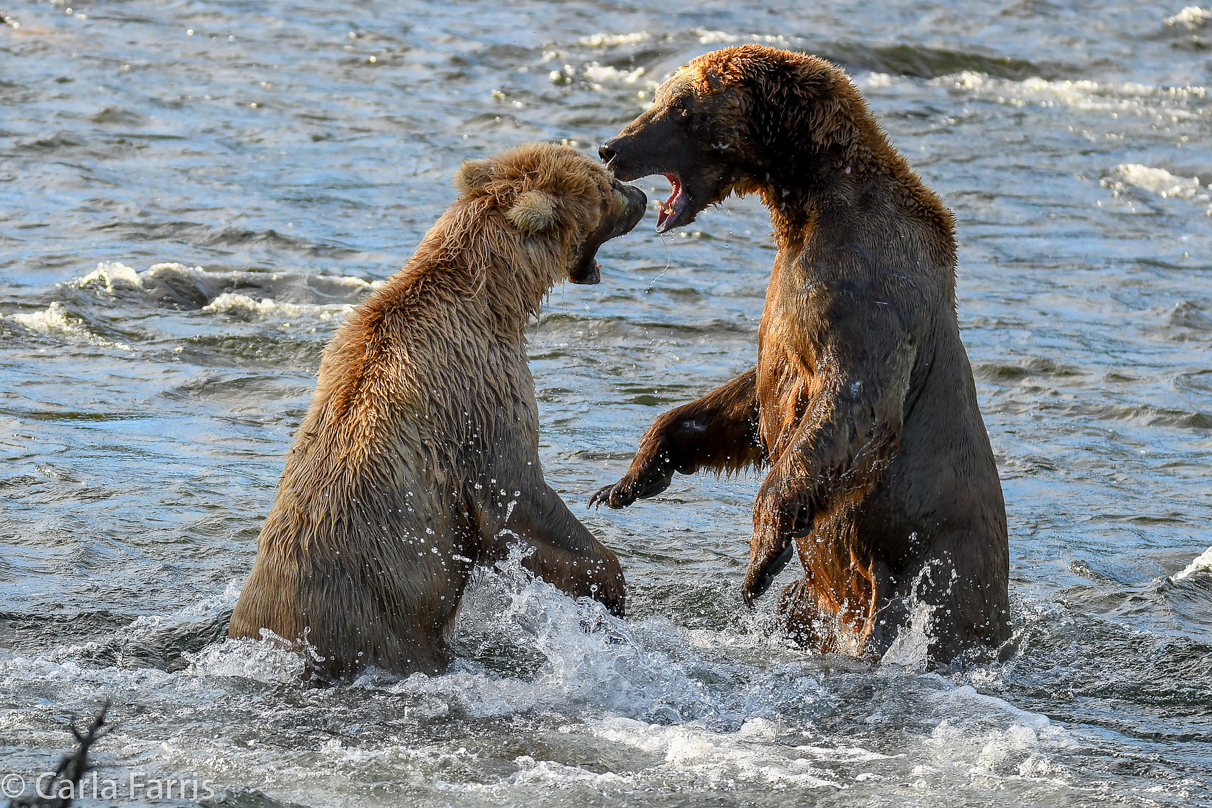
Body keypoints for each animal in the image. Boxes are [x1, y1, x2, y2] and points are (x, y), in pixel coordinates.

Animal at [226, 142, 644, 678]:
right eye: (604, 184)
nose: (641, 195)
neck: (496, 297)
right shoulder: (481, 396)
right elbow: (517, 499)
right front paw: (609, 588)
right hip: (382, 627)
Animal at [591, 45, 1008, 663]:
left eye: (682, 106)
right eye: (662, 95)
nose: (611, 147)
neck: (807, 201)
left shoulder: (868, 295)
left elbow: (853, 406)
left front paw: (760, 558)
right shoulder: (785, 313)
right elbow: (743, 400)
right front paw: (626, 480)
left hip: (926, 579)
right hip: (825, 600)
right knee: (802, 609)